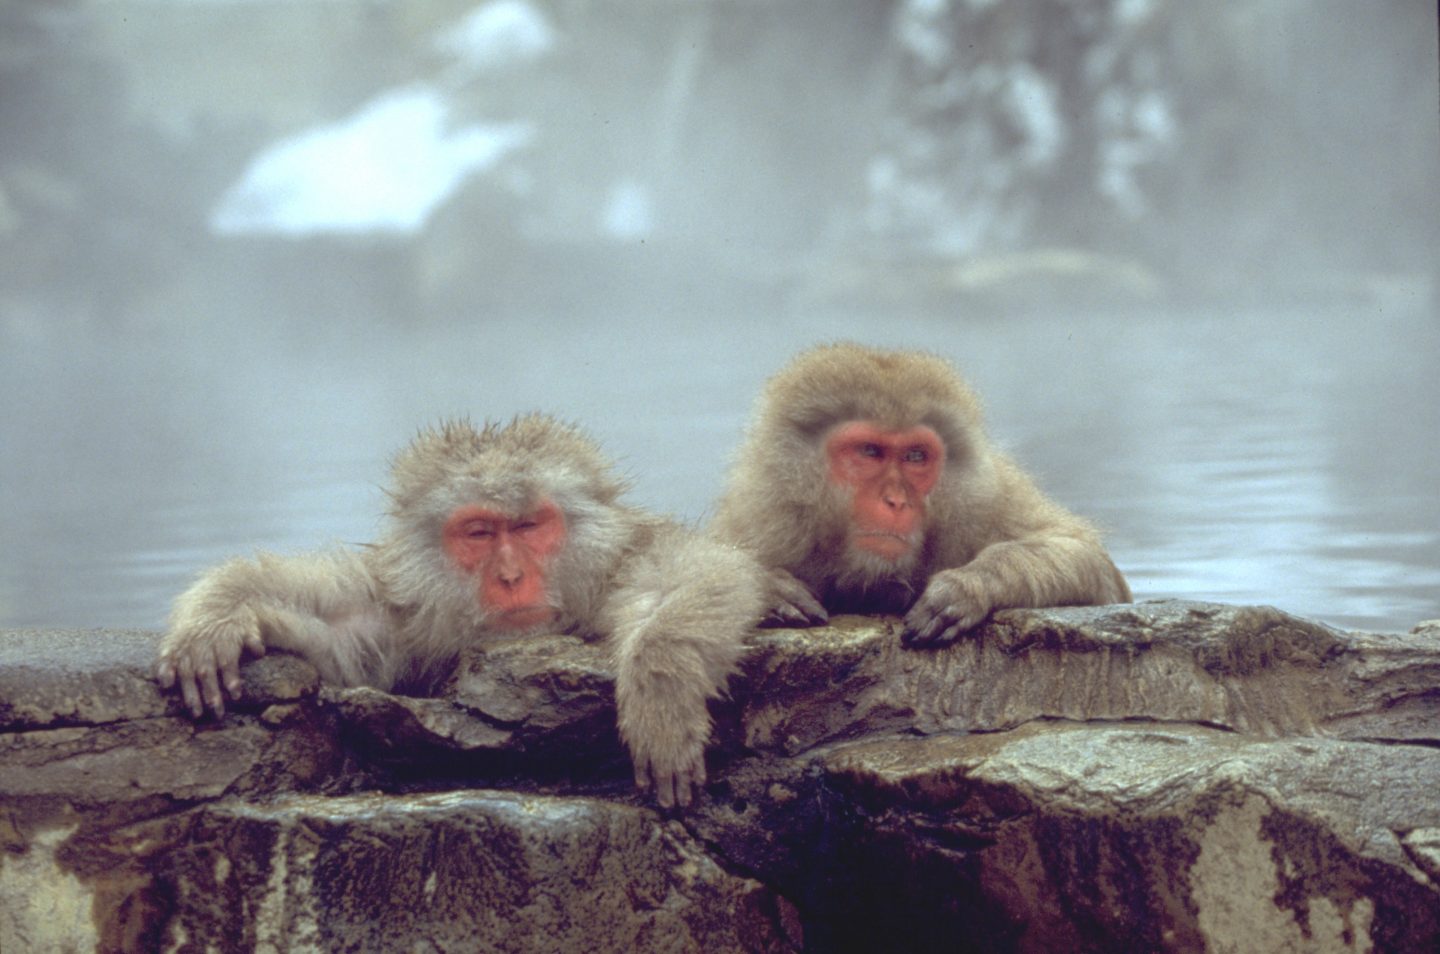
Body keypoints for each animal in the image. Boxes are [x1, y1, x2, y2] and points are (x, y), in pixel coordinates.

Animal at [157, 417, 766, 807]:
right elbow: (337, 631)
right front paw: (221, 611)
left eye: (528, 525)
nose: (510, 577)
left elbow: (698, 572)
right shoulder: (404, 620)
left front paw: (661, 696)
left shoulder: (617, 566)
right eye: (478, 533)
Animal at [714, 344, 1128, 651]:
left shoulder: (990, 499)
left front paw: (970, 584)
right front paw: (765, 586)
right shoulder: (758, 522)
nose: (896, 501)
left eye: (915, 456)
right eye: (869, 452)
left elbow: (1091, 563)